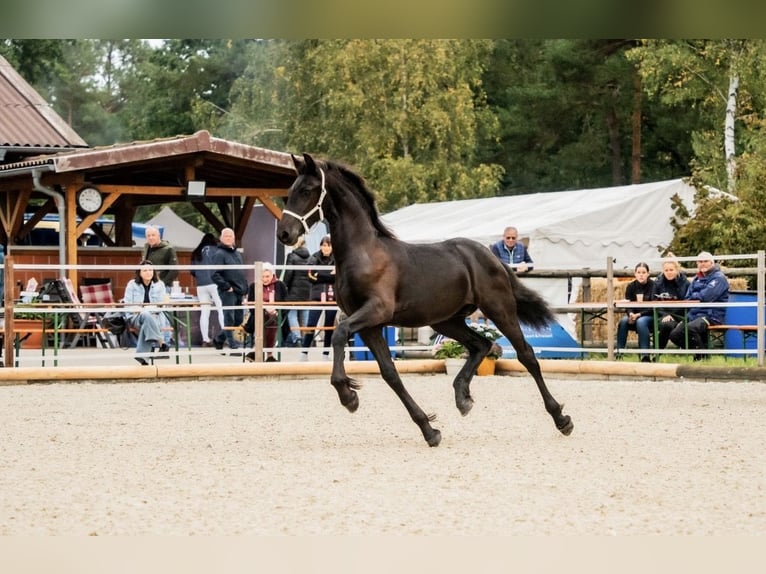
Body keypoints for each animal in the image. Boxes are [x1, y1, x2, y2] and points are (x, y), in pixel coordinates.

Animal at [277, 153, 573, 447]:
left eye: (307, 190)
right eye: (289, 193)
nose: (285, 234)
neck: (363, 252)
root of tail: (491, 257)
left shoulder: (376, 311)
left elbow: (338, 333)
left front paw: (348, 395)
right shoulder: (370, 325)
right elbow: (390, 373)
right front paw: (429, 430)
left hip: (499, 309)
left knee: (526, 355)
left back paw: (561, 419)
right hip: (446, 321)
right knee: (481, 344)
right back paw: (462, 397)